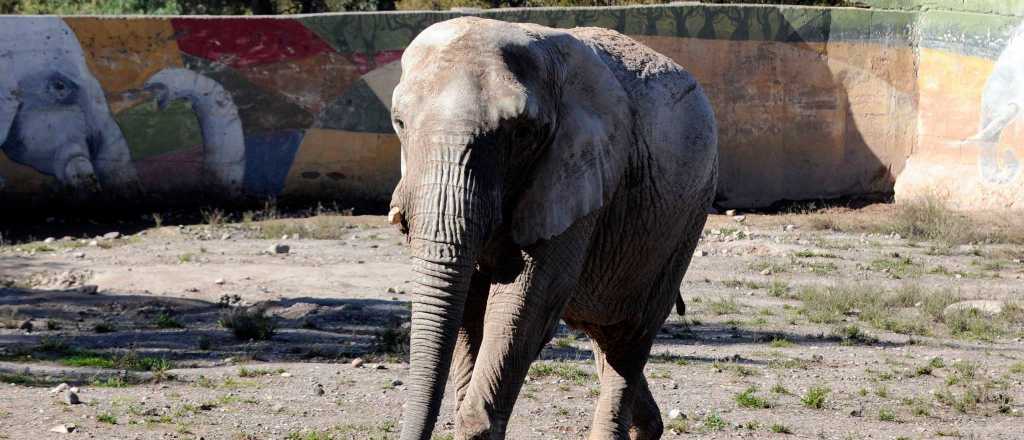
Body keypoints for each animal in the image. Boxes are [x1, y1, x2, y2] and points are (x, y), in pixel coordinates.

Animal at [387, 17, 716, 440]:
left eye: (521, 133)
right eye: (399, 123)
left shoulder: (577, 172)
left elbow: (527, 301)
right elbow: (468, 300)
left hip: (687, 217)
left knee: (630, 338)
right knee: (605, 333)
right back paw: (647, 426)